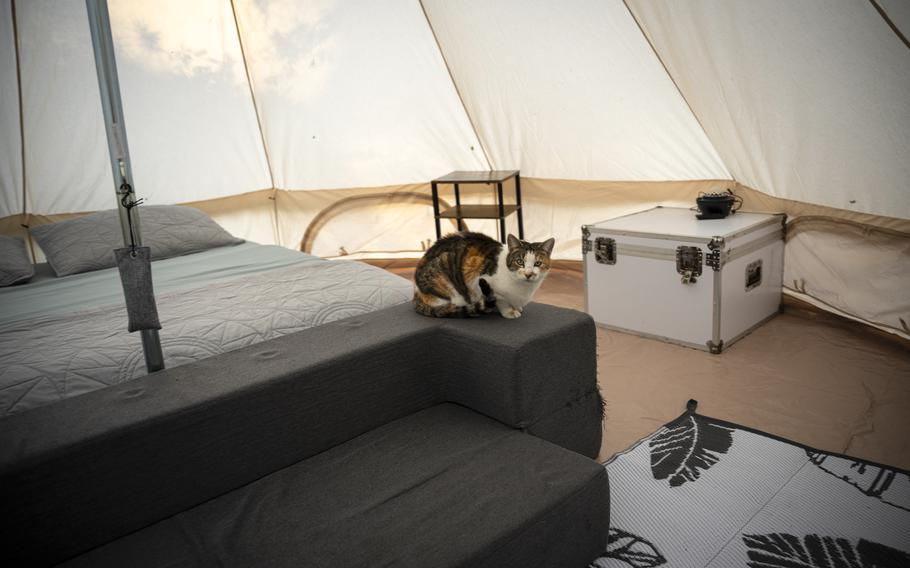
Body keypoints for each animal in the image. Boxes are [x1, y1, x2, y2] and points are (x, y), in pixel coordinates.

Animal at [414, 232, 556, 320]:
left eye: (538, 263)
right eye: (520, 262)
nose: (528, 274)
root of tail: (417, 294)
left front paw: (517, 307)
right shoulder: (480, 279)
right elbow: (501, 301)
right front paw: (509, 312)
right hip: (446, 277)